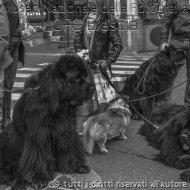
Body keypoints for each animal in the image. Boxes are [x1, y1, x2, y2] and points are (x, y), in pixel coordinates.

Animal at [0, 54, 94, 189]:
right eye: (77, 78)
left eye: (85, 76)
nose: (92, 88)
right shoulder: (39, 135)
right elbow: (38, 156)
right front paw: (39, 178)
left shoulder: (66, 130)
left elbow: (71, 147)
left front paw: (78, 165)